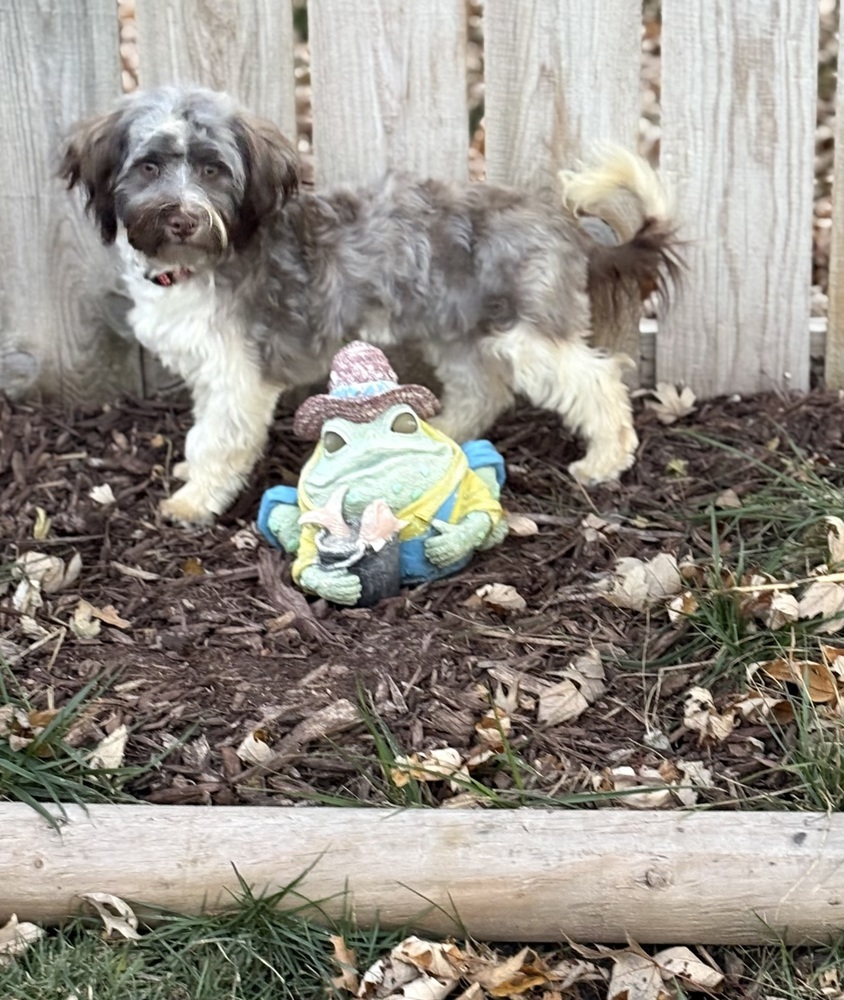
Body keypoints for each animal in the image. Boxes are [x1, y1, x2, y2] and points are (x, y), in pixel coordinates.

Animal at [59, 82, 684, 528]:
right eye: (149, 166)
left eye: (213, 169)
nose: (183, 217)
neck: (203, 257)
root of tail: (565, 226)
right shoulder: (211, 369)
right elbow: (201, 431)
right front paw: (189, 472)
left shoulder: (238, 374)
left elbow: (219, 437)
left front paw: (193, 500)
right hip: (456, 326)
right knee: (484, 389)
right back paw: (446, 430)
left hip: (527, 332)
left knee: (596, 381)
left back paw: (607, 458)